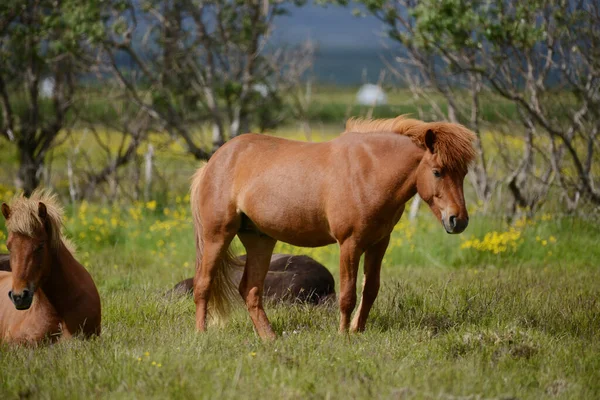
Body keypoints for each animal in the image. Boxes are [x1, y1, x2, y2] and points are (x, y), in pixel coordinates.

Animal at [190, 117, 476, 340]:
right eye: (438, 171)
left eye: (463, 173)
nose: (458, 220)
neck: (369, 171)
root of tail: (213, 162)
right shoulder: (350, 243)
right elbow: (348, 294)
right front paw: (343, 335)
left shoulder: (379, 243)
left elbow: (370, 289)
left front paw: (357, 331)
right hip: (217, 235)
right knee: (203, 284)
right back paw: (202, 334)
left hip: (260, 240)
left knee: (250, 290)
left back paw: (269, 338)